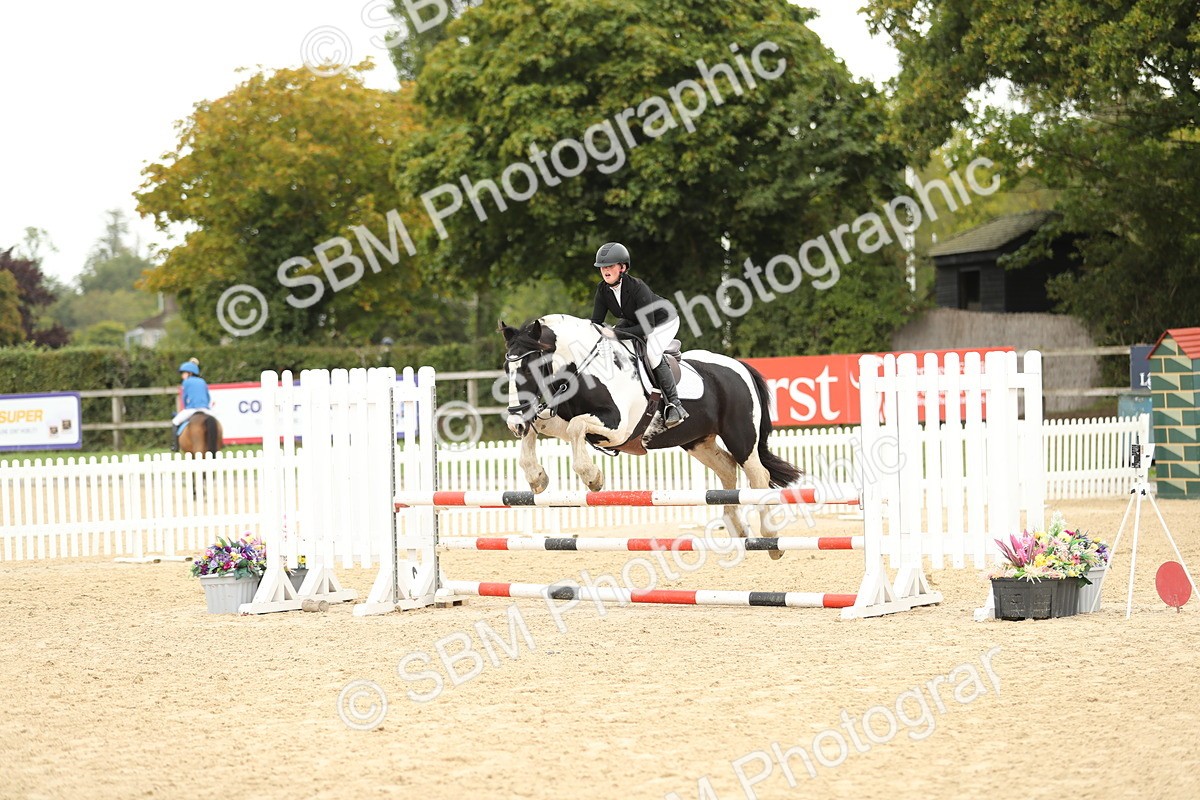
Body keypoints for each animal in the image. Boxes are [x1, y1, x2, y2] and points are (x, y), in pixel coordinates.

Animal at [500, 314, 802, 552]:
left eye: (529, 368)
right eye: (507, 369)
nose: (514, 422)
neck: (581, 368)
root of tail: (741, 366)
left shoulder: (618, 428)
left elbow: (577, 427)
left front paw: (592, 477)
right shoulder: (564, 421)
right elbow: (539, 427)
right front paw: (537, 477)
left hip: (740, 436)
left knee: (758, 476)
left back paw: (770, 539)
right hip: (698, 441)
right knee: (727, 469)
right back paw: (736, 528)